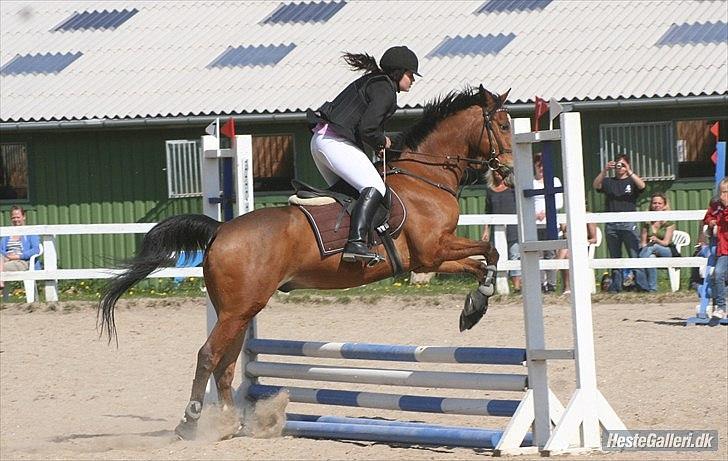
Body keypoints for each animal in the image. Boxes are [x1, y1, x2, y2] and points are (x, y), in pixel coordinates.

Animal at [99, 84, 516, 440]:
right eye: (504, 125)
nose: (509, 174)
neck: (426, 176)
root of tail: (221, 230)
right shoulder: (433, 251)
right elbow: (489, 252)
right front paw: (476, 305)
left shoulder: (426, 261)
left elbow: (485, 259)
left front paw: (473, 308)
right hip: (238, 309)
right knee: (208, 356)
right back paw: (190, 423)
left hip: (240, 308)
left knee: (226, 362)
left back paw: (231, 423)